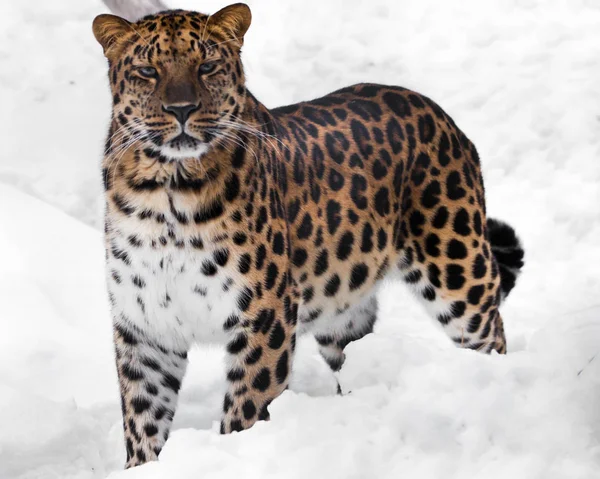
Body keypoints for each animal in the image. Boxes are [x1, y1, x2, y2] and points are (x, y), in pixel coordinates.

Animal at [92, 2, 524, 468]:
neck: (164, 189)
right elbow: (143, 417)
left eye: (207, 66)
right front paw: (141, 467)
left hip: (458, 267)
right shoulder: (144, 326)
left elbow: (246, 405)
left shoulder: (265, 312)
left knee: (490, 331)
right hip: (344, 307)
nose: (182, 109)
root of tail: (437, 111)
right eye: (148, 71)